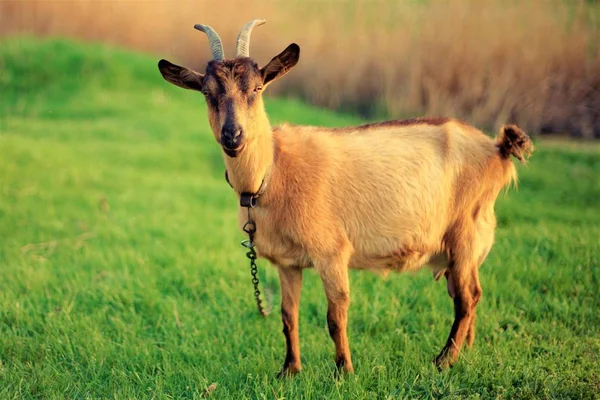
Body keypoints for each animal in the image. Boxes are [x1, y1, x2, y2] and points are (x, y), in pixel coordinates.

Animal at [157, 18, 532, 376]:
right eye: (207, 92)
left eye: (258, 88)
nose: (233, 135)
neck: (271, 174)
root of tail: (497, 149)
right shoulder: (287, 262)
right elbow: (288, 316)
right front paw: (289, 370)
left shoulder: (331, 252)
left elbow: (335, 316)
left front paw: (344, 371)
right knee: (471, 295)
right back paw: (464, 353)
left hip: (465, 232)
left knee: (466, 300)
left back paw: (443, 361)